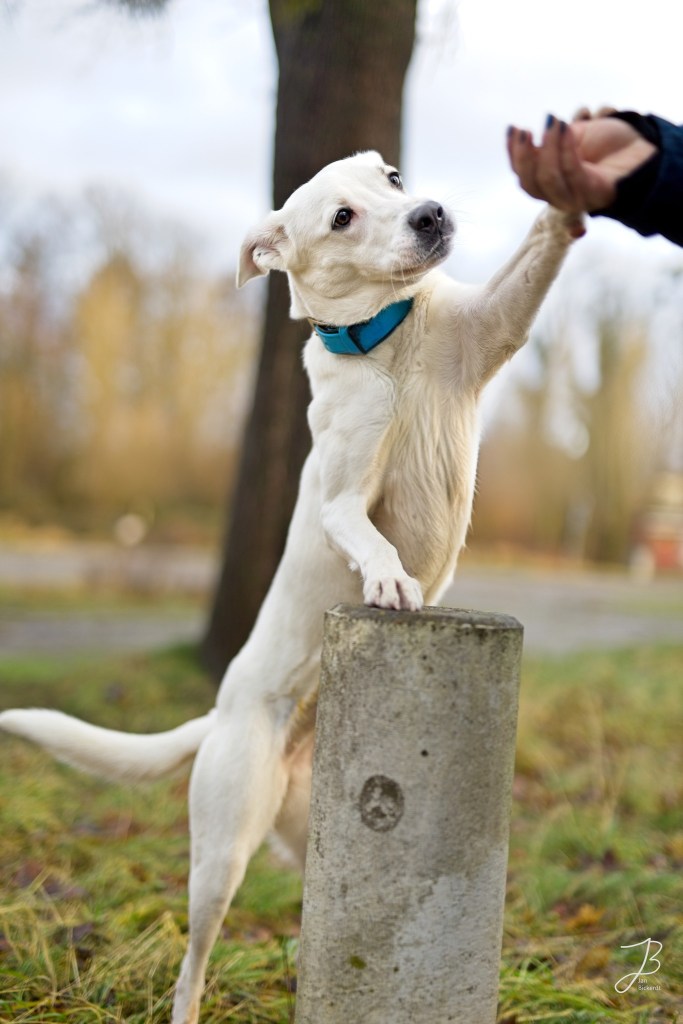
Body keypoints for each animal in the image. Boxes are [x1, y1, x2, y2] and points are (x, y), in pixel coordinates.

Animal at [0, 151, 581, 1024]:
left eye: (392, 177)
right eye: (341, 217)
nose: (430, 214)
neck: (386, 338)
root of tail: (219, 714)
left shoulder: (494, 321)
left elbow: (541, 246)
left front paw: (571, 184)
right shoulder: (342, 497)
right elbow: (369, 536)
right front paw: (390, 579)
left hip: (328, 836)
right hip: (221, 855)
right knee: (193, 959)